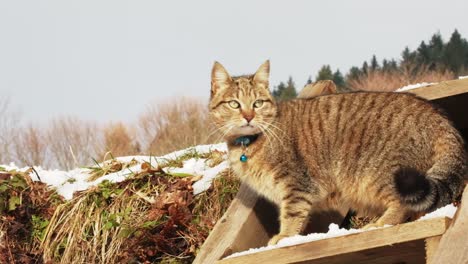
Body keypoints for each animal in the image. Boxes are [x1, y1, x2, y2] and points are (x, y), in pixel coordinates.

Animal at [209, 60, 468, 245]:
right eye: (234, 104)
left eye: (258, 103)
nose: (248, 116)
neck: (248, 144)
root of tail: (439, 117)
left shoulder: (296, 184)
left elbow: (292, 214)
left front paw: (284, 237)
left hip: (385, 174)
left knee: (405, 205)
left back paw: (380, 224)